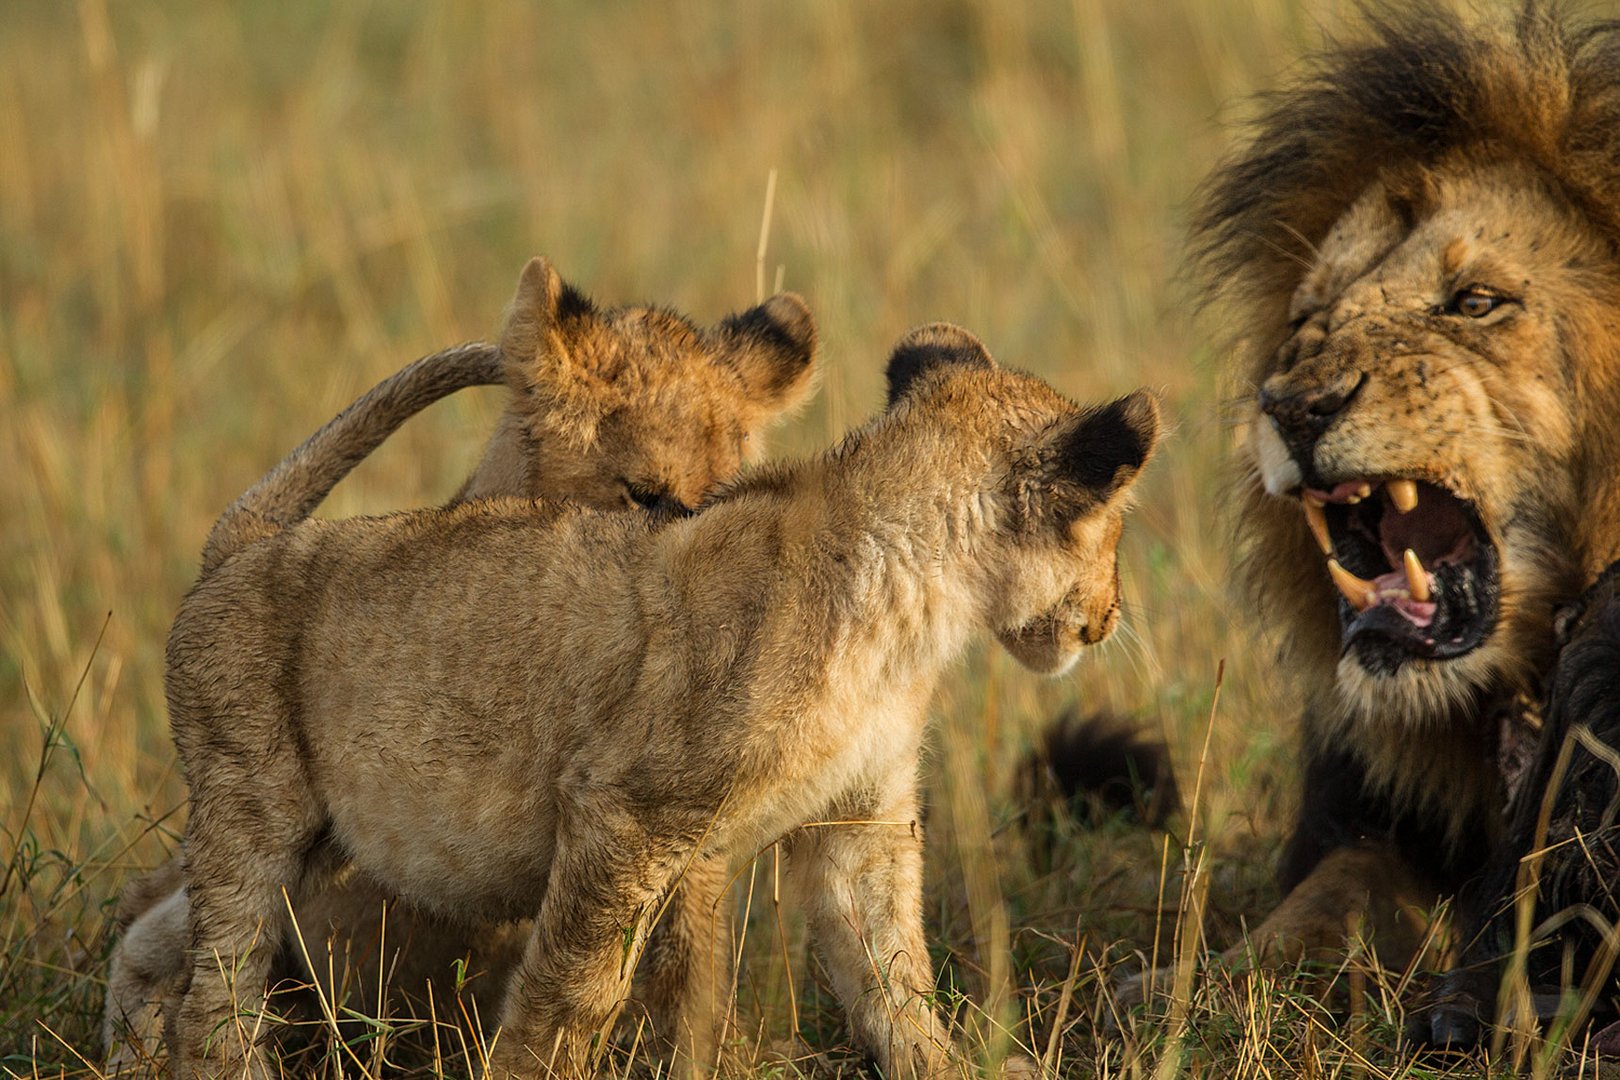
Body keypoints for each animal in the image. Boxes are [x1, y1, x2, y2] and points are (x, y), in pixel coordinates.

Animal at [1198, 0, 1620, 1029]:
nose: (1295, 406)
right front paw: (1192, 992)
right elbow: (1330, 892)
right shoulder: (1385, 833)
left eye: (1475, 301)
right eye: (1305, 320)